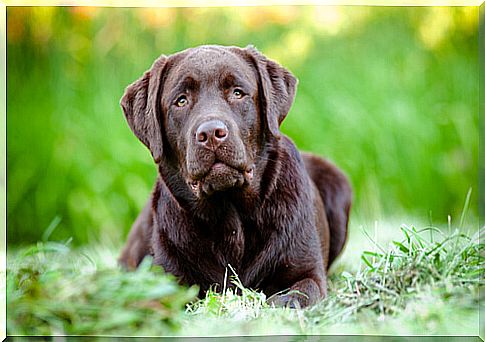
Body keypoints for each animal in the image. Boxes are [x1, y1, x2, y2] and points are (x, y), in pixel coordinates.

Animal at [118, 44, 350, 308]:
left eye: (238, 93)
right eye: (181, 100)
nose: (211, 133)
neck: (231, 215)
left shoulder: (307, 272)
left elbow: (297, 294)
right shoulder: (167, 279)